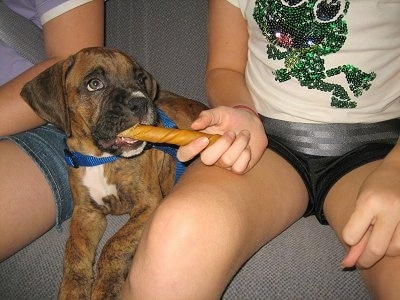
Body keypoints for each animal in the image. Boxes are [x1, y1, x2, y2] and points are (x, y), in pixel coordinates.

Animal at [21, 47, 208, 300]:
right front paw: (73, 288)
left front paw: (106, 286)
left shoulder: (148, 204)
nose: (140, 102)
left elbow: (115, 244)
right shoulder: (86, 213)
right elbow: (75, 249)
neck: (101, 158)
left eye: (140, 79)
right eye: (94, 84)